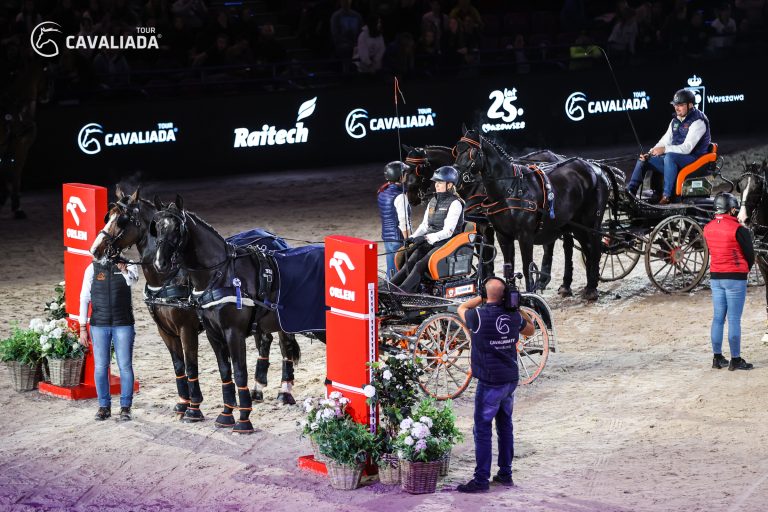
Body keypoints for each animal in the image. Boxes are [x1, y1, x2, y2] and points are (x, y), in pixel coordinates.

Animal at [0, 59, 53, 219]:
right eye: (48, 72)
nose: (48, 95)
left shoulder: (10, 147)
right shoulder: (20, 146)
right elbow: (15, 174)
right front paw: (16, 207)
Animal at [452, 128, 616, 302]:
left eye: (472, 151)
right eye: (457, 150)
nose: (456, 174)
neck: (509, 190)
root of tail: (596, 166)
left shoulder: (525, 235)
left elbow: (526, 267)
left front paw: (530, 296)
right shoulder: (503, 236)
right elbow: (508, 267)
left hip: (591, 222)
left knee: (594, 249)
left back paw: (591, 288)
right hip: (575, 224)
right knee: (584, 248)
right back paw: (581, 285)